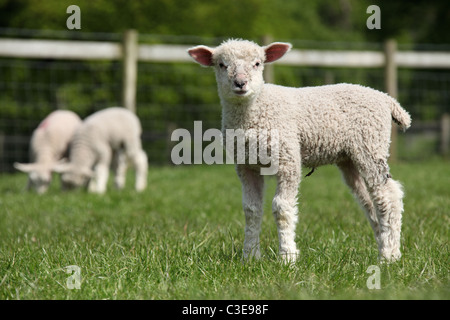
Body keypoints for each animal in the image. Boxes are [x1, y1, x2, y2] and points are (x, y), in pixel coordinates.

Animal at [188, 38, 414, 262]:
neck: (255, 111)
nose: (240, 83)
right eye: (221, 65)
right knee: (369, 201)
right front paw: (250, 256)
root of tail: (386, 99)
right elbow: (251, 210)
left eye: (257, 63)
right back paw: (386, 247)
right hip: (350, 157)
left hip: (371, 144)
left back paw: (388, 256)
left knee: (388, 196)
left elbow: (281, 208)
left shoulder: (287, 159)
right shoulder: (246, 165)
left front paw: (288, 256)